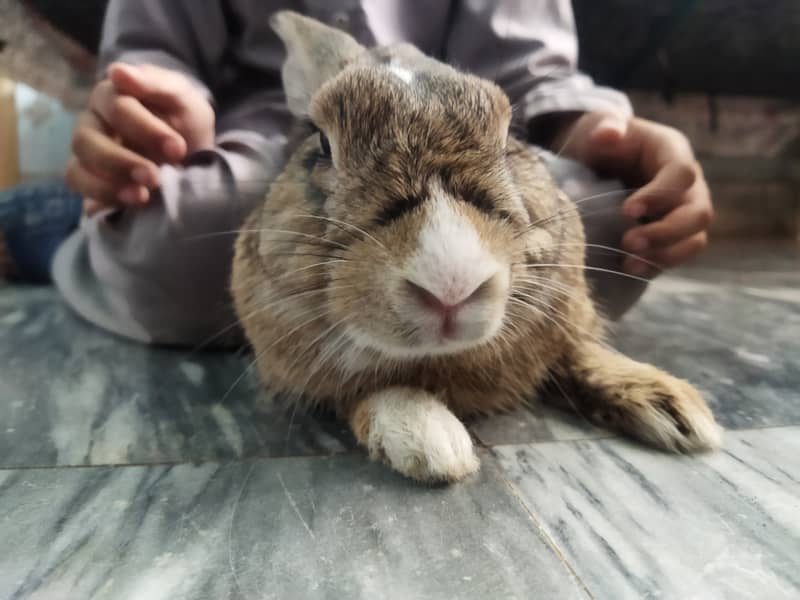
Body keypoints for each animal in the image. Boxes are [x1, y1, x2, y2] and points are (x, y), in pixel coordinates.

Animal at [231, 11, 722, 483]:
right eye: (322, 143)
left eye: (509, 140)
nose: (451, 287)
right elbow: (368, 390)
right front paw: (429, 440)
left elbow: (579, 351)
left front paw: (676, 409)